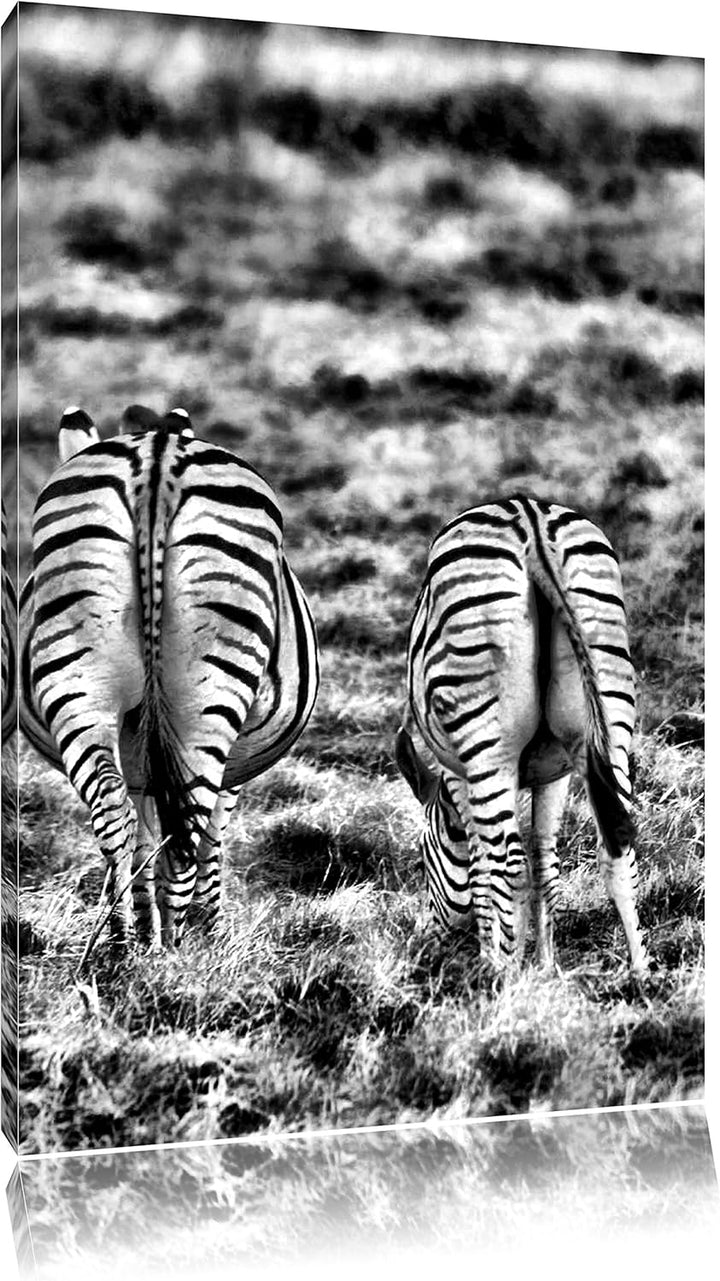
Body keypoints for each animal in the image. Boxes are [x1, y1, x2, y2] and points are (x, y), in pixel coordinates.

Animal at [19, 405, 319, 947]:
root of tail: (156, 460)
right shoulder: (229, 766)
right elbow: (209, 836)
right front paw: (207, 922)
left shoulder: (141, 755)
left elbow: (143, 833)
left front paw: (144, 923)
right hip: (205, 700)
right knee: (188, 829)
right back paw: (175, 948)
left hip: (77, 680)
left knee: (113, 811)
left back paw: (121, 941)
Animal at [395, 494, 648, 975]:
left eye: (421, 856)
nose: (423, 946)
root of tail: (529, 519)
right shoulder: (556, 773)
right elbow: (545, 863)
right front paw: (546, 967)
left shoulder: (461, 776)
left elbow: (483, 869)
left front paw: (493, 958)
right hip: (609, 721)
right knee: (618, 845)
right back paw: (641, 973)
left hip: (484, 741)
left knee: (508, 866)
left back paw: (506, 980)